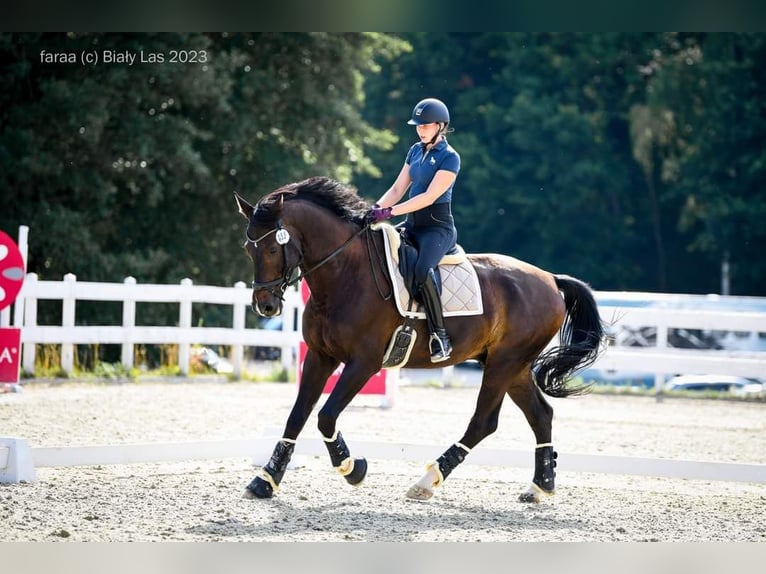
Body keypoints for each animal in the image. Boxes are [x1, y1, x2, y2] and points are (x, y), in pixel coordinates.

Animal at [234, 176, 608, 504]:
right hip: (513, 366)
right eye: (248, 249)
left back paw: (427, 481)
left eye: (272, 247)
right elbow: (297, 416)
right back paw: (539, 486)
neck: (345, 275)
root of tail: (550, 279)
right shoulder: (319, 356)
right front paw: (265, 481)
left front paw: (353, 468)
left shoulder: (364, 363)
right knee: (541, 415)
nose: (265, 305)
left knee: (483, 423)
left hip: (504, 363)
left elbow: (325, 416)